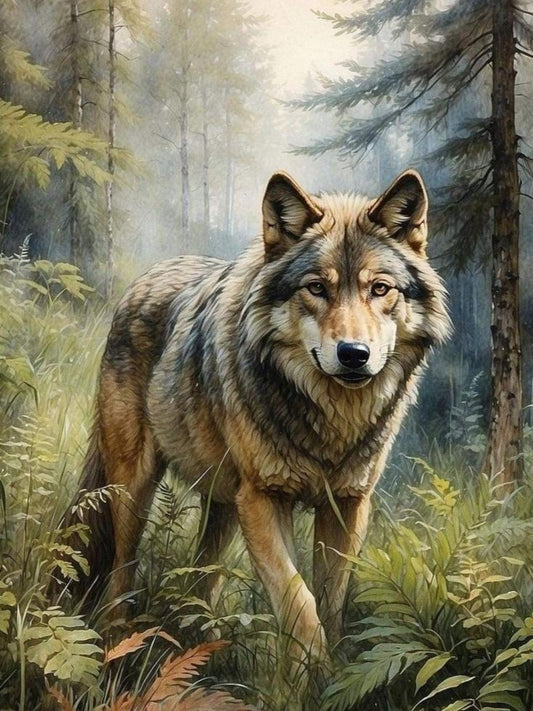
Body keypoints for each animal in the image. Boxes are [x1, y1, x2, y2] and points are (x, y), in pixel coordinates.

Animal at [65, 169, 450, 665]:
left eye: (379, 289)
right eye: (316, 288)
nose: (353, 354)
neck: (329, 422)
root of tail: (147, 277)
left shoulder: (347, 505)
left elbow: (330, 601)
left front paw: (329, 670)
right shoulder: (265, 499)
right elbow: (300, 603)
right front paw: (312, 673)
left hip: (225, 505)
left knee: (203, 577)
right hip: (136, 489)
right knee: (121, 567)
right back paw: (117, 645)